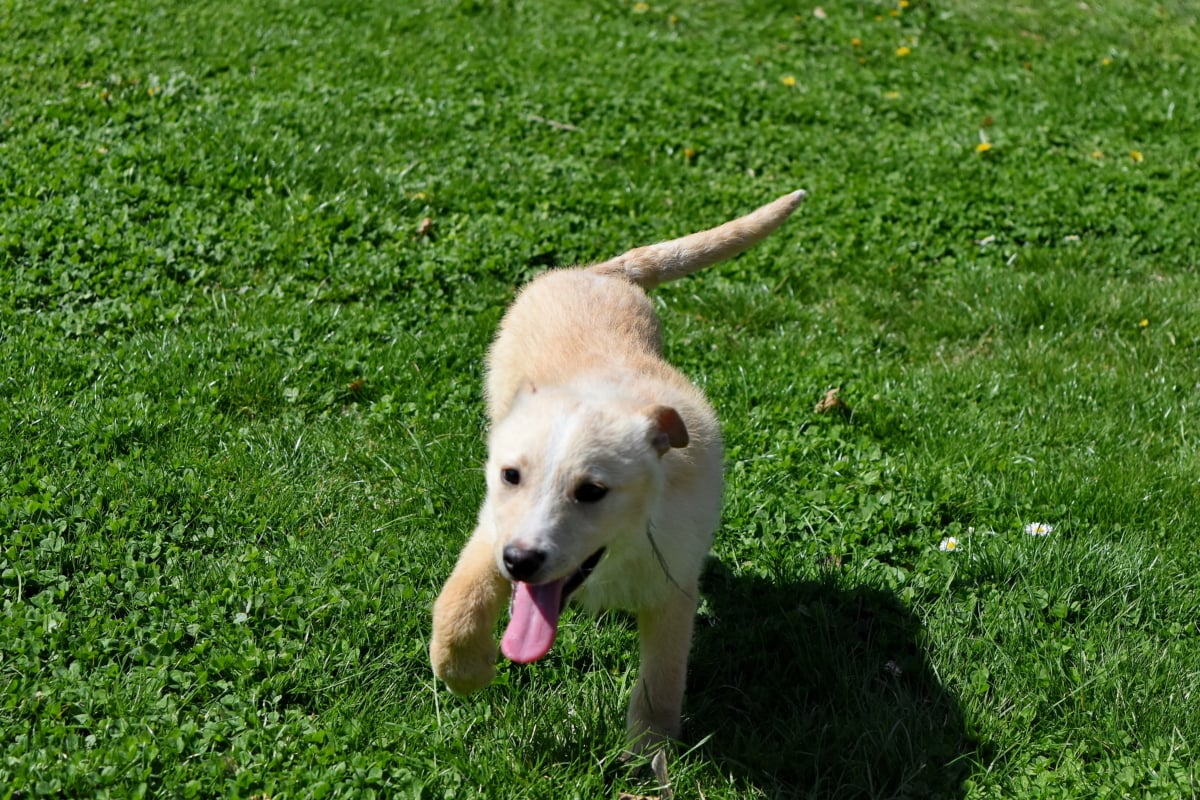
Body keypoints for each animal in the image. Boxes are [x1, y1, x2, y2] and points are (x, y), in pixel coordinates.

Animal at [432, 189, 806, 753]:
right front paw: (463, 670)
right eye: (510, 476)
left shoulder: (672, 589)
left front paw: (647, 754)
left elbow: (661, 683)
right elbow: (461, 596)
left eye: (592, 492)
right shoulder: (494, 528)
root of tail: (601, 272)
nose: (520, 562)